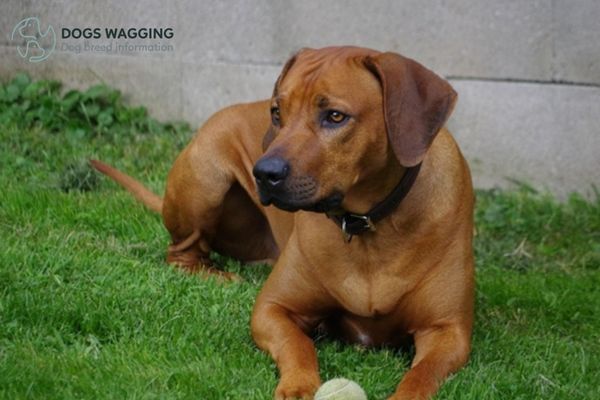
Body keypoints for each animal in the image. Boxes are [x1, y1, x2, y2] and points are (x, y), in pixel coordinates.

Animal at [91, 45, 474, 398]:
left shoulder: (448, 331)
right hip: (206, 175)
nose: (263, 173)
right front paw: (298, 385)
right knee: (181, 253)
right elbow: (297, 345)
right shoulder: (273, 309)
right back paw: (220, 275)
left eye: (335, 116)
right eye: (277, 112)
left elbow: (421, 375)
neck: (366, 223)